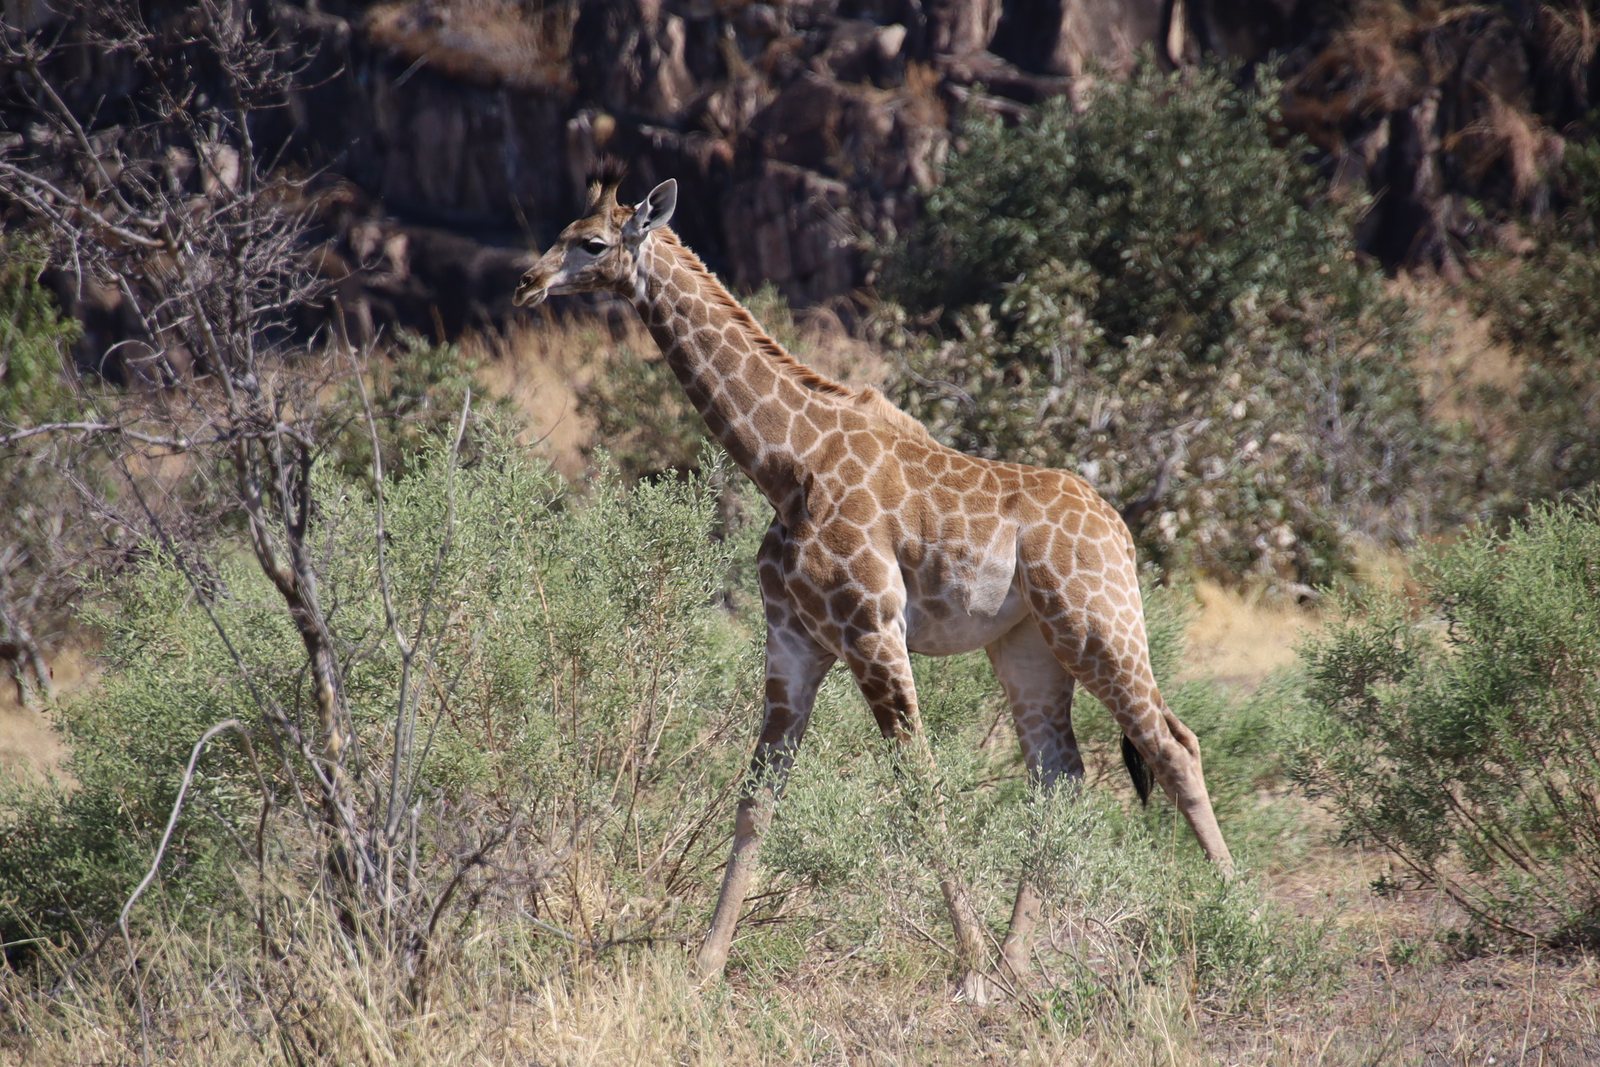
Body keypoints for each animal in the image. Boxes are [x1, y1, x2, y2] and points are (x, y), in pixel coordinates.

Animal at [513, 172, 1233, 1001]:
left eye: (593, 242)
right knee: (1059, 774)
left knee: (1174, 744)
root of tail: (1120, 530)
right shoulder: (794, 640)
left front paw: (969, 970)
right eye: (562, 230)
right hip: (1027, 645)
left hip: (1097, 623)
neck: (783, 462)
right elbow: (757, 800)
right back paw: (1019, 963)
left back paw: (1238, 913)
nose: (525, 283)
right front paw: (705, 965)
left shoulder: (872, 628)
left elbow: (922, 790)